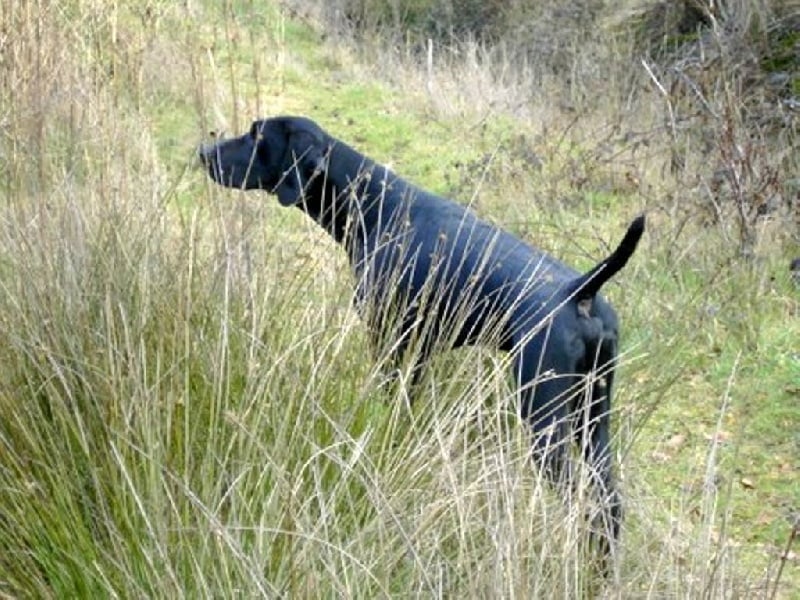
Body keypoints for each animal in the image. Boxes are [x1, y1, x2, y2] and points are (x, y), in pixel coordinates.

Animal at [198, 118, 644, 556]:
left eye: (256, 134)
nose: (203, 151)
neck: (376, 206)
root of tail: (580, 289)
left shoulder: (390, 339)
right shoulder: (419, 349)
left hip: (545, 416)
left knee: (584, 502)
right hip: (593, 418)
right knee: (609, 501)